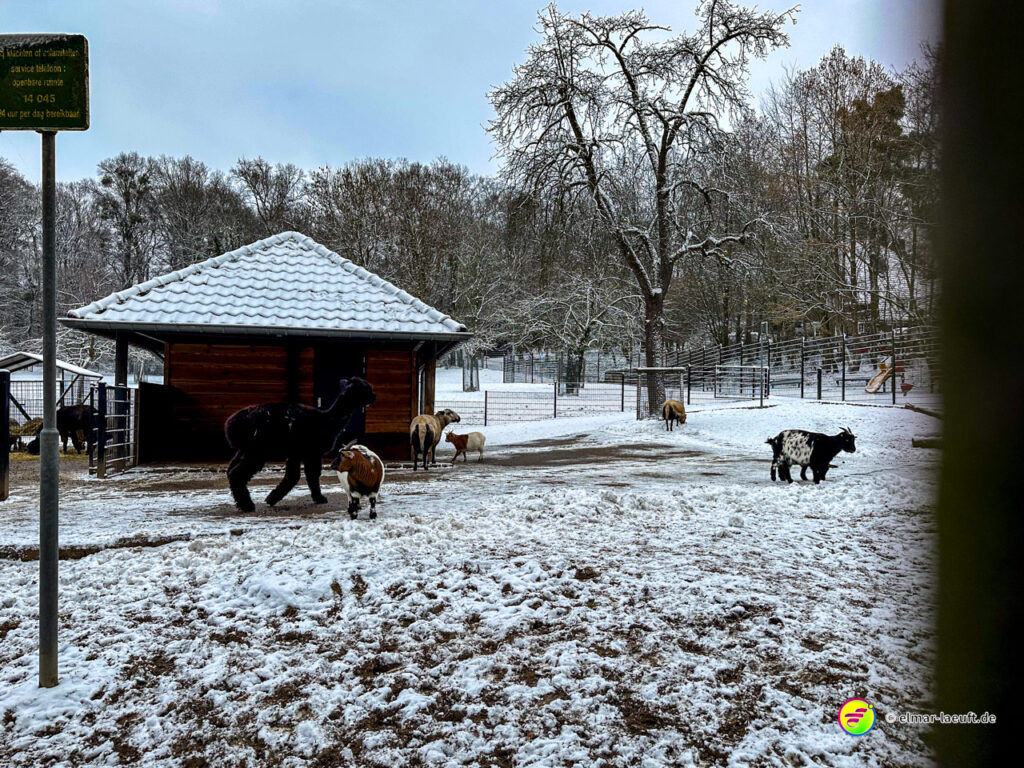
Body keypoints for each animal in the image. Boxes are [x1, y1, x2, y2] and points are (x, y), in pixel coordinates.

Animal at [224, 377, 376, 512]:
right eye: (366, 387)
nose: (374, 396)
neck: (328, 421)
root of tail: (232, 423)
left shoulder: (296, 453)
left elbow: (294, 476)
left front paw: (272, 498)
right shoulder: (311, 452)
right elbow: (311, 475)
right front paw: (320, 498)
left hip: (244, 450)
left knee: (230, 470)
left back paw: (240, 503)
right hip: (257, 450)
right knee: (236, 474)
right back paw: (247, 506)